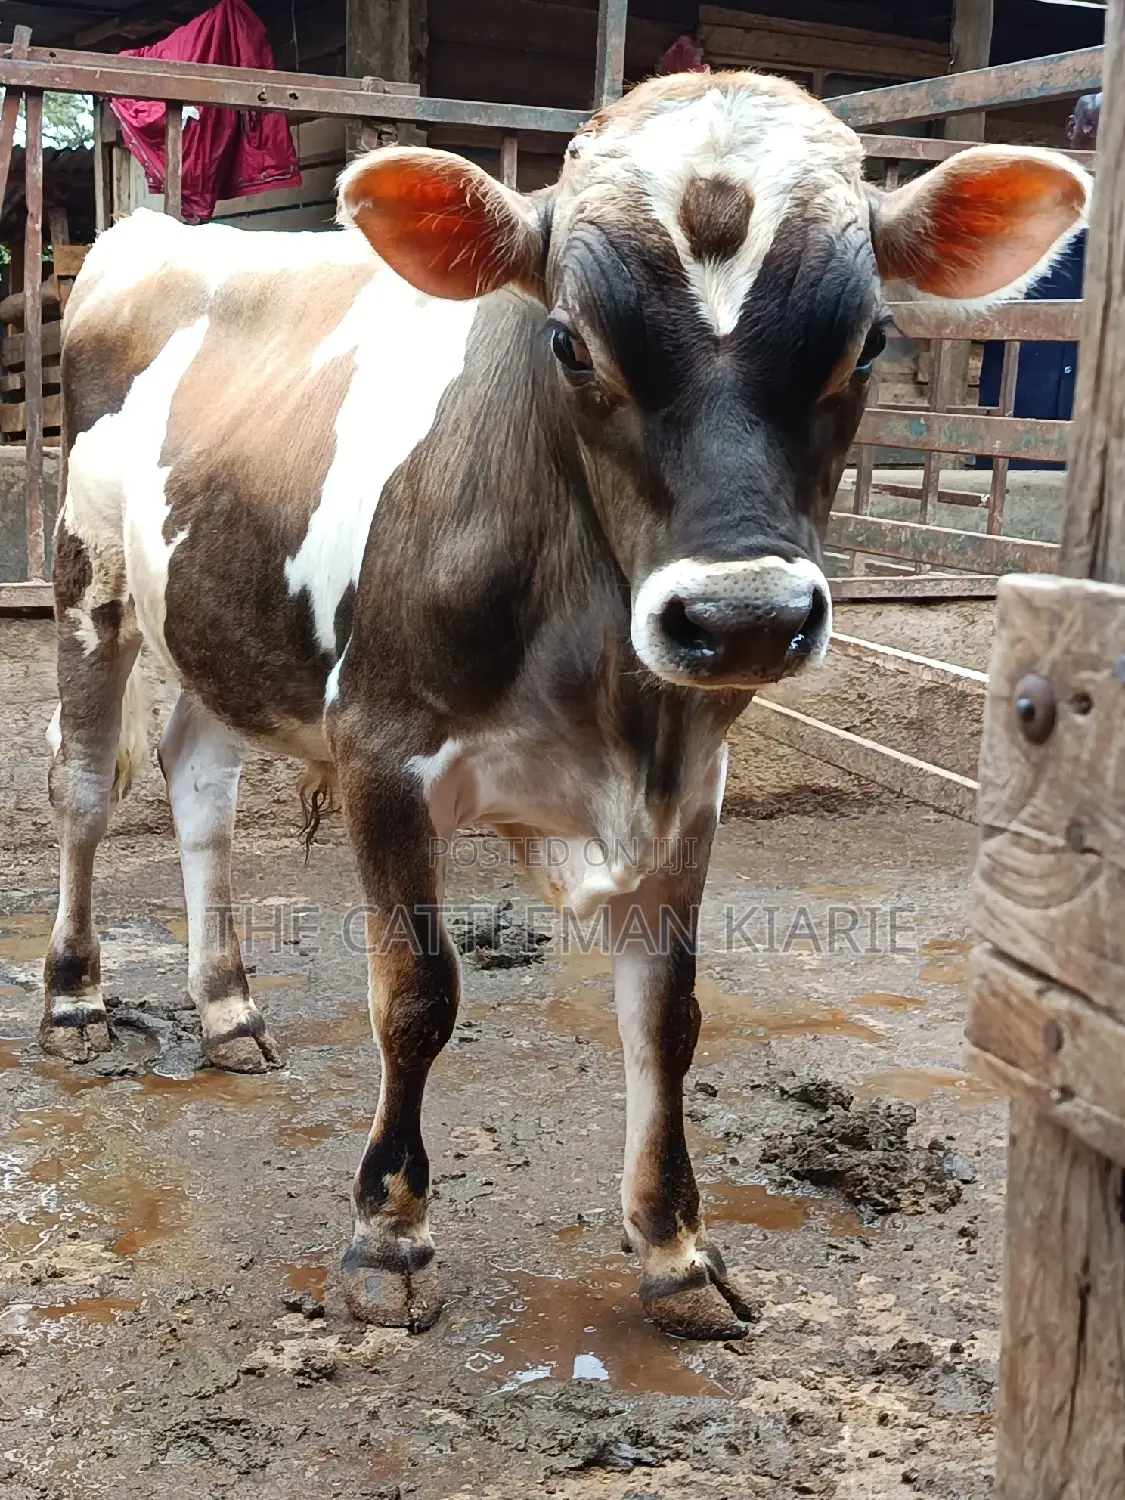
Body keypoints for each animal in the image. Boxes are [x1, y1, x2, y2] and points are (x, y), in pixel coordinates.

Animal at [42, 69, 1089, 1340]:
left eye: (871, 340)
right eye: (570, 342)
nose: (742, 617)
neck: (607, 699)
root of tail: (155, 236)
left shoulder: (692, 784)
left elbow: (668, 1013)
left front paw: (677, 1249)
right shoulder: (382, 754)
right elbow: (417, 995)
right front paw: (387, 1238)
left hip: (222, 621)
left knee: (198, 781)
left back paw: (229, 1011)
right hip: (88, 581)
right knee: (87, 791)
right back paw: (75, 1000)